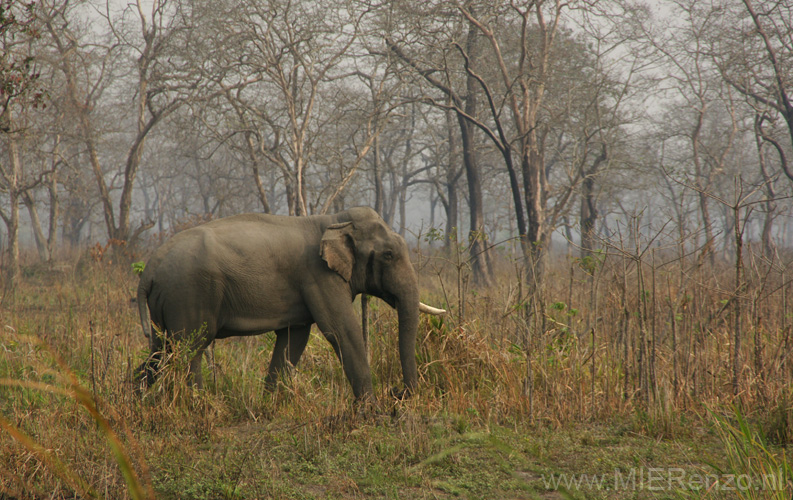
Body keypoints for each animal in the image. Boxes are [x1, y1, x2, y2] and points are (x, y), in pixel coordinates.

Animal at [136, 205, 446, 400]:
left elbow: (293, 339)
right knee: (190, 349)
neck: (333, 219)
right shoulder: (318, 275)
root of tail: (149, 269)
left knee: (159, 351)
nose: (397, 393)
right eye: (389, 255)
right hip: (189, 295)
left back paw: (136, 398)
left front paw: (270, 405)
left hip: (165, 305)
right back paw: (199, 405)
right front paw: (372, 410)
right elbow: (341, 332)